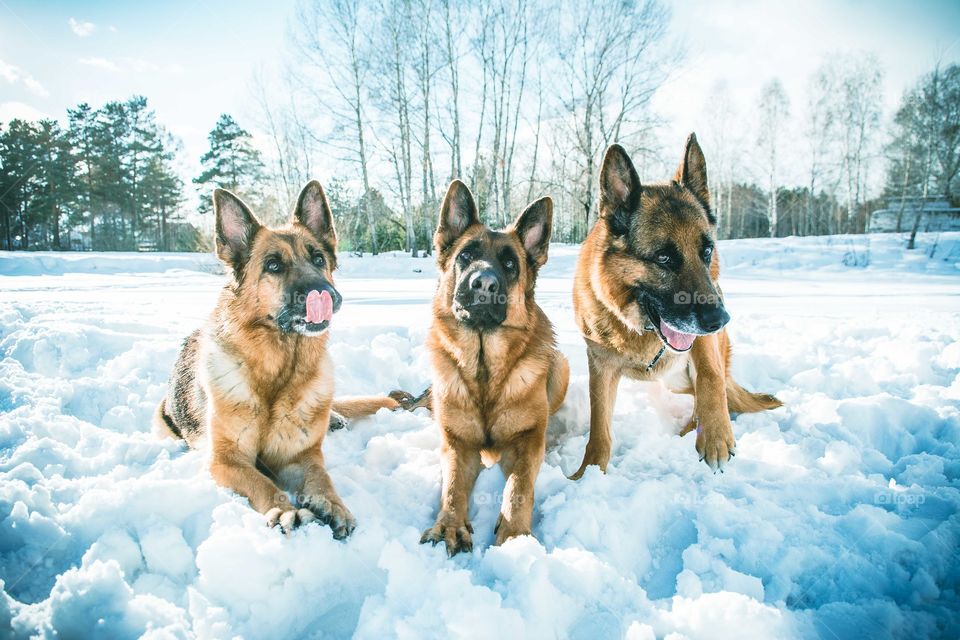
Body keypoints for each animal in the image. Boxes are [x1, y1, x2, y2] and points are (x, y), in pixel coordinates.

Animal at [157, 182, 408, 536]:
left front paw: (333, 505)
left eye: (318, 258)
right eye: (273, 265)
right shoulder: (226, 461)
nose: (324, 292)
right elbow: (262, 483)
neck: (278, 373)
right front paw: (285, 511)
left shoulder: (300, 457)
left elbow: (321, 477)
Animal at [420, 179, 568, 556]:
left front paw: (515, 536)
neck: (484, 370)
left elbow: (519, 485)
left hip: (561, 366)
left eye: (510, 264)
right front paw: (449, 526)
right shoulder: (457, 444)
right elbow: (453, 487)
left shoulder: (527, 441)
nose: (484, 284)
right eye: (466, 256)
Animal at [568, 132, 780, 478]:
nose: (720, 319)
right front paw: (587, 475)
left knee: (719, 389)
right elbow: (599, 429)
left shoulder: (702, 344)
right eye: (664, 257)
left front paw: (716, 437)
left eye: (707, 251)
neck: (642, 330)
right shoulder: (601, 367)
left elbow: (711, 378)